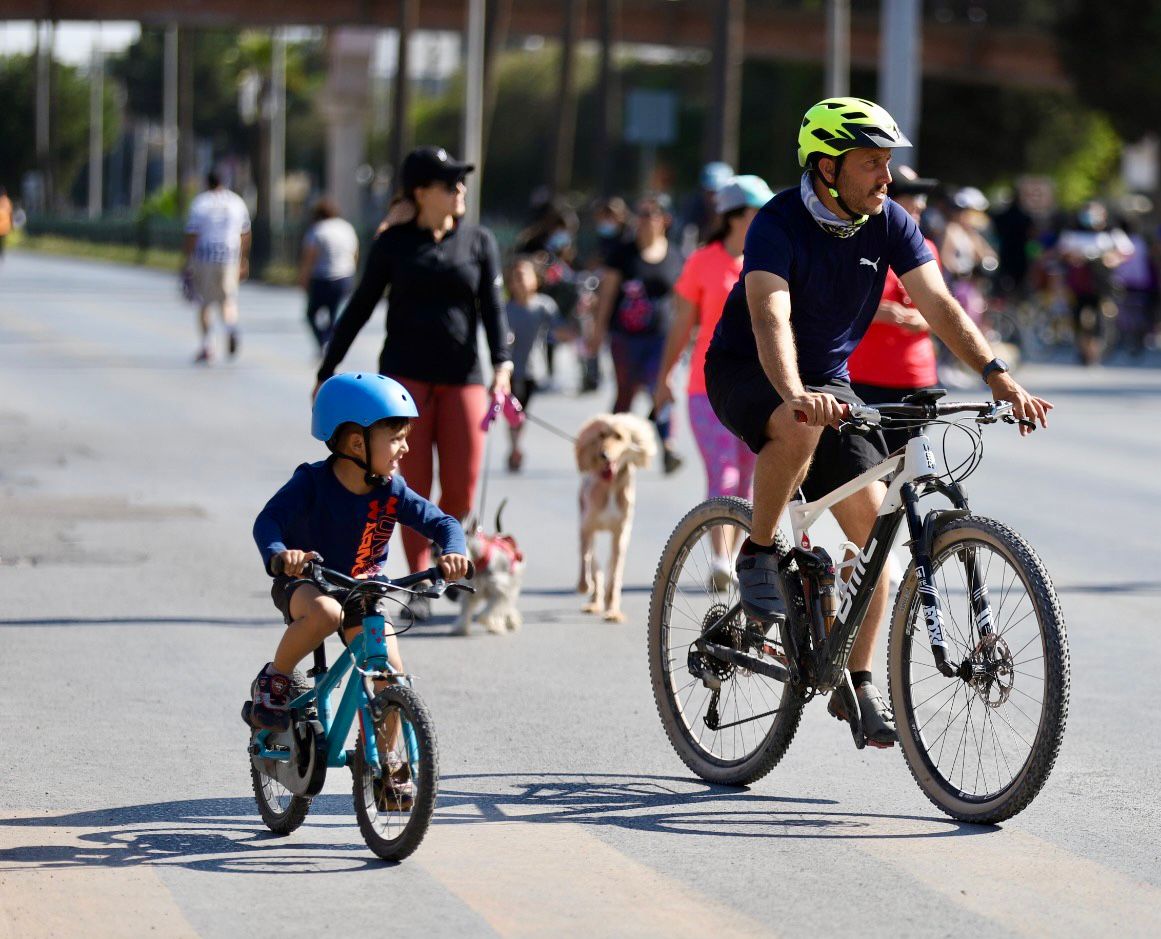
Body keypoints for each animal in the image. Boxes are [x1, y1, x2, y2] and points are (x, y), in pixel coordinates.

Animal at [575, 413, 659, 617]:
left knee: (612, 567)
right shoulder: (587, 526)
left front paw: (612, 609)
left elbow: (615, 574)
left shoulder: (620, 533)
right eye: (601, 435)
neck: (611, 485)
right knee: (594, 563)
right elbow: (585, 557)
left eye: (619, 437)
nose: (603, 455)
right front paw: (584, 585)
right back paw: (593, 600)